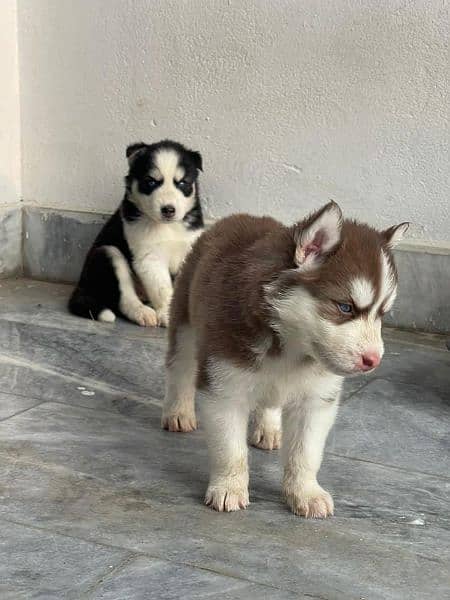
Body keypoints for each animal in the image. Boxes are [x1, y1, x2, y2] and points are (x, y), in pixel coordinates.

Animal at [68, 139, 204, 328]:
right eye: (151, 182)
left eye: (182, 183)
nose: (168, 210)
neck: (168, 226)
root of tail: (81, 286)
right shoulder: (149, 257)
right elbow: (162, 289)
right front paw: (168, 315)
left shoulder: (190, 248)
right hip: (107, 254)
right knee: (124, 299)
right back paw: (142, 313)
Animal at [161, 202, 408, 516]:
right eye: (345, 307)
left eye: (382, 314)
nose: (373, 360)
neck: (289, 346)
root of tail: (239, 217)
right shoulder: (224, 386)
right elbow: (230, 449)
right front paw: (228, 487)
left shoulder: (316, 401)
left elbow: (305, 453)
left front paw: (305, 492)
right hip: (185, 322)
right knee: (180, 367)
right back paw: (178, 412)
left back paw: (269, 428)